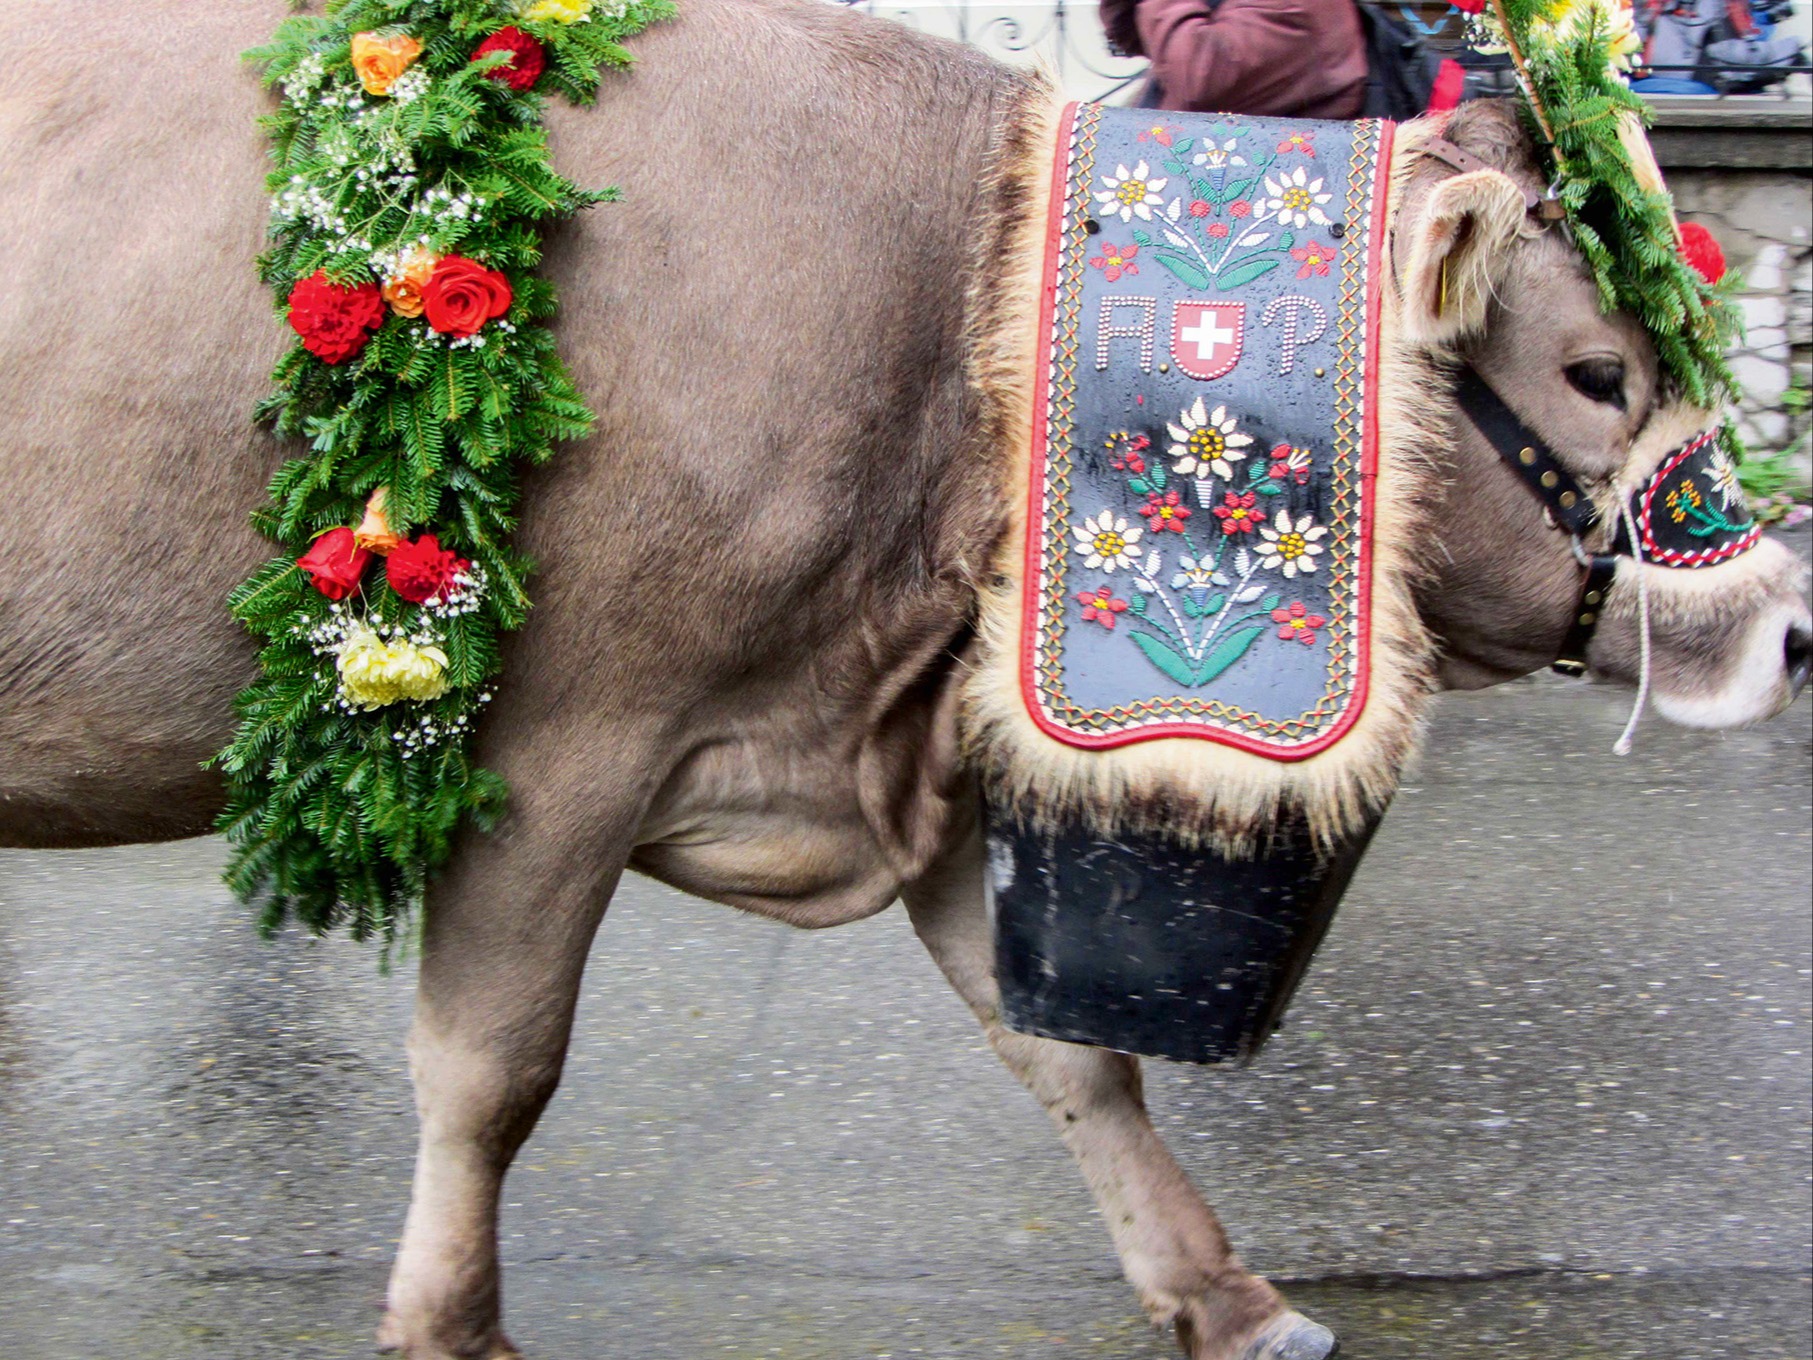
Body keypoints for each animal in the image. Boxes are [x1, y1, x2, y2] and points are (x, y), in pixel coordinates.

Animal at [0, 2, 1805, 1360]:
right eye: (1596, 374)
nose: (1786, 626)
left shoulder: (930, 743)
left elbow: (1069, 1057)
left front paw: (1222, 1295)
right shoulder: (562, 742)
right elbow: (488, 1071)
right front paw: (450, 1328)